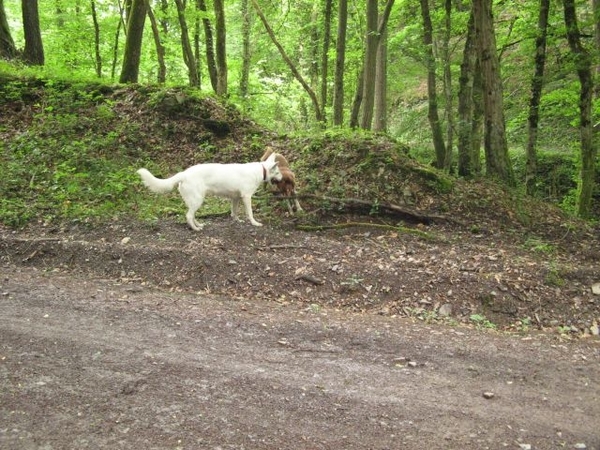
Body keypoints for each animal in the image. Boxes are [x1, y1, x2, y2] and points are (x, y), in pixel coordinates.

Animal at [137, 155, 282, 232]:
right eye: (278, 172)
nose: (282, 179)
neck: (261, 170)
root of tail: (184, 173)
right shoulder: (246, 197)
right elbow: (250, 213)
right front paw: (254, 223)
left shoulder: (235, 198)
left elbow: (234, 212)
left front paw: (237, 221)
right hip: (198, 200)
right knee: (188, 216)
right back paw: (195, 229)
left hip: (195, 201)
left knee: (192, 215)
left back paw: (198, 225)